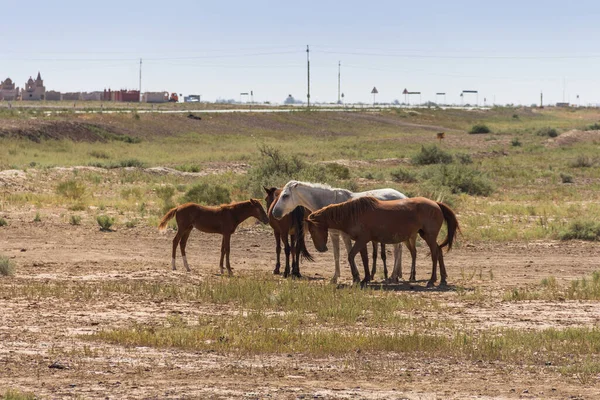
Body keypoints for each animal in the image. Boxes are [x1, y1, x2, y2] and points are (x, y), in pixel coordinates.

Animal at [272, 180, 418, 282]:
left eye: (285, 196)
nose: (274, 213)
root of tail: (403, 196)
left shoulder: (345, 235)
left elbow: (349, 252)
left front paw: (356, 277)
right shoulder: (334, 234)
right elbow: (336, 255)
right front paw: (335, 277)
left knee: (397, 251)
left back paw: (394, 276)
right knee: (398, 250)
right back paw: (396, 275)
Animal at [308, 195, 462, 286]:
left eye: (312, 230)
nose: (321, 249)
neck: (352, 214)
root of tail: (436, 203)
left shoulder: (362, 240)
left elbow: (351, 256)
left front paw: (357, 277)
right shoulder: (362, 241)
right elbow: (365, 259)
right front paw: (366, 277)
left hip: (429, 236)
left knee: (435, 254)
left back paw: (431, 280)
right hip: (426, 235)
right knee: (439, 251)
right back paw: (442, 279)